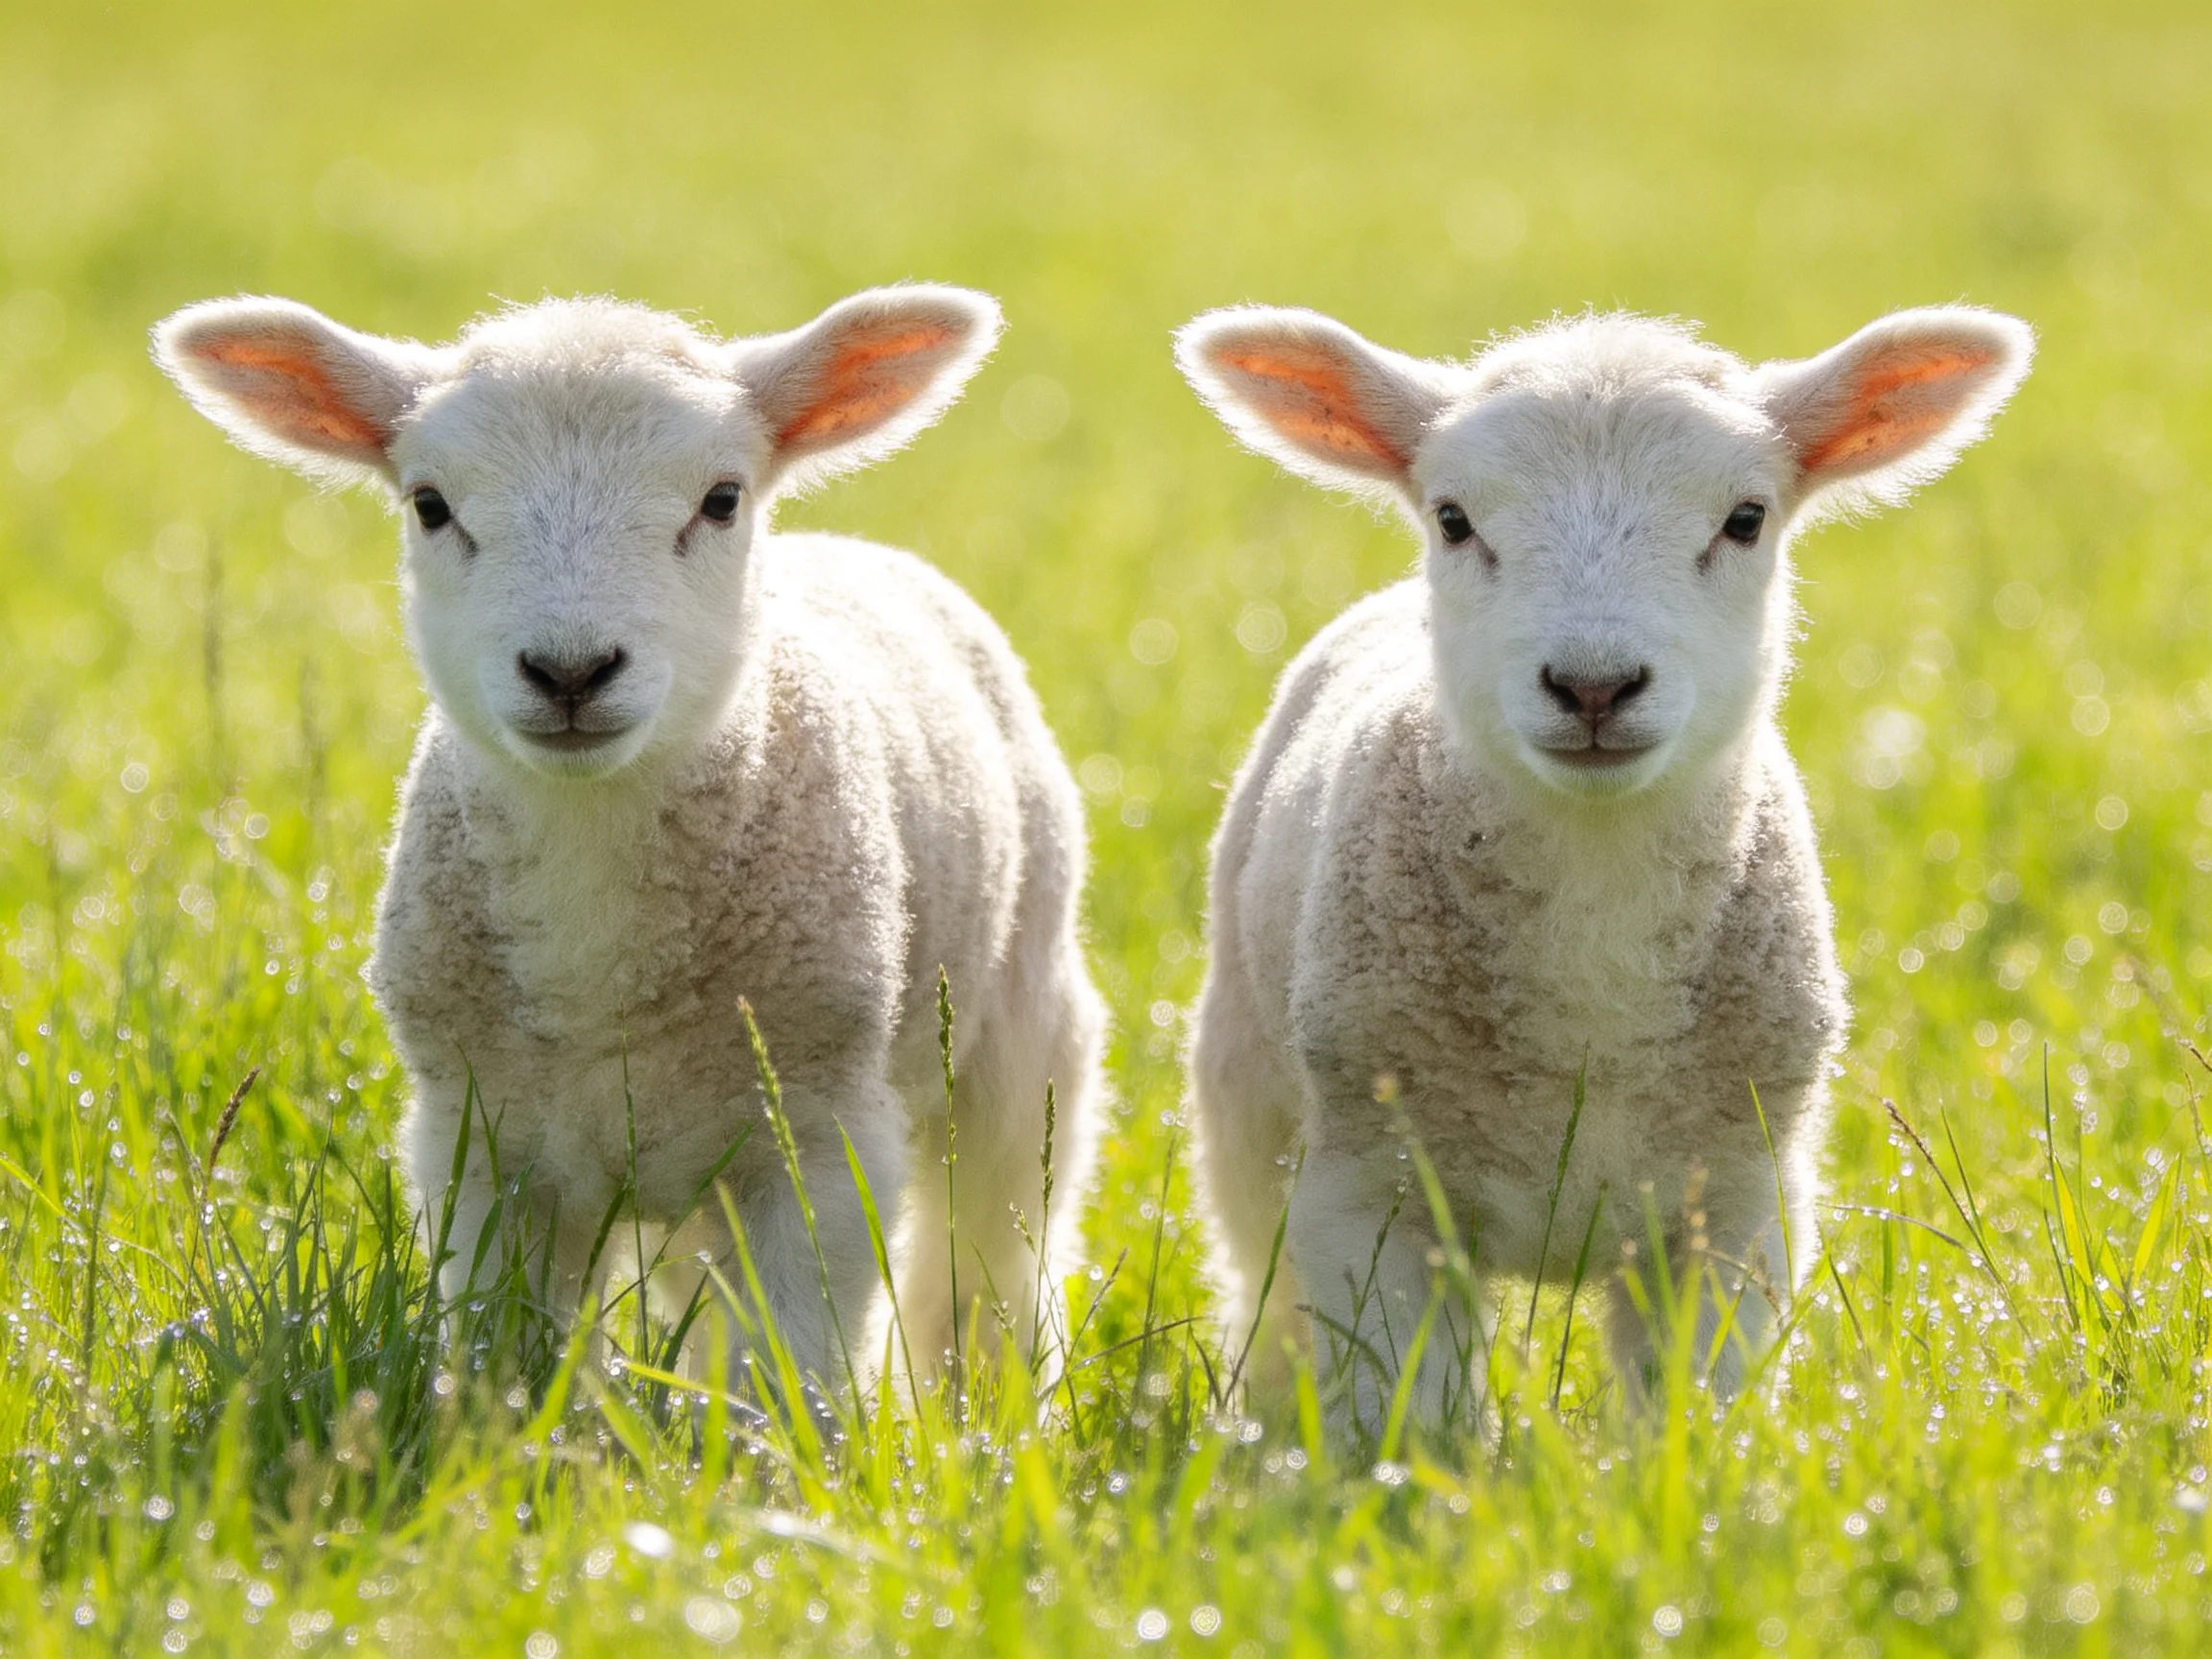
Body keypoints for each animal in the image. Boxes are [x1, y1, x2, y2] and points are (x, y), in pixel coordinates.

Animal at [152, 286, 1106, 1394]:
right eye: (430, 505)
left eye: (722, 499)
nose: (570, 670)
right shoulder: (477, 1141)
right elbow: (509, 1359)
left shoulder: (820, 1136)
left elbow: (793, 1370)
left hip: (1018, 1031)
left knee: (994, 1251)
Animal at [1174, 302, 2033, 1434]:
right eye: (1454, 519)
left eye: (1745, 518)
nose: (1593, 685)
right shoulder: (1367, 1196)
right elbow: (1410, 1418)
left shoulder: (1738, 1203)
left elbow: (1695, 1405)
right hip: (1246, 1096)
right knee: (1258, 1287)